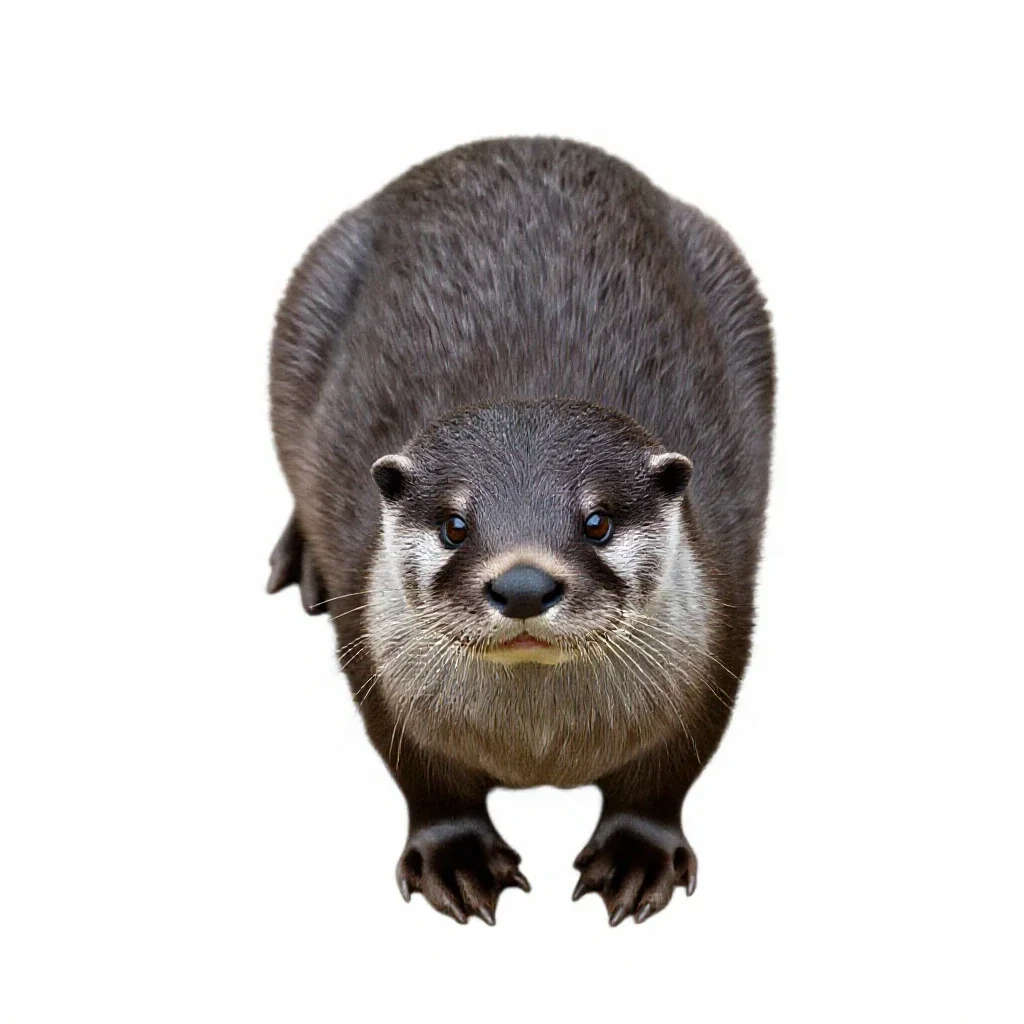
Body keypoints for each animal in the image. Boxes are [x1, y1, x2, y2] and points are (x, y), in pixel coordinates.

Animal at [267, 138, 774, 926]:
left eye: (597, 521)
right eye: (454, 524)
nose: (525, 584)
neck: (539, 748)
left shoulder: (721, 634)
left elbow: (668, 771)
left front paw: (637, 855)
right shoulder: (373, 657)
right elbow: (423, 774)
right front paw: (456, 856)